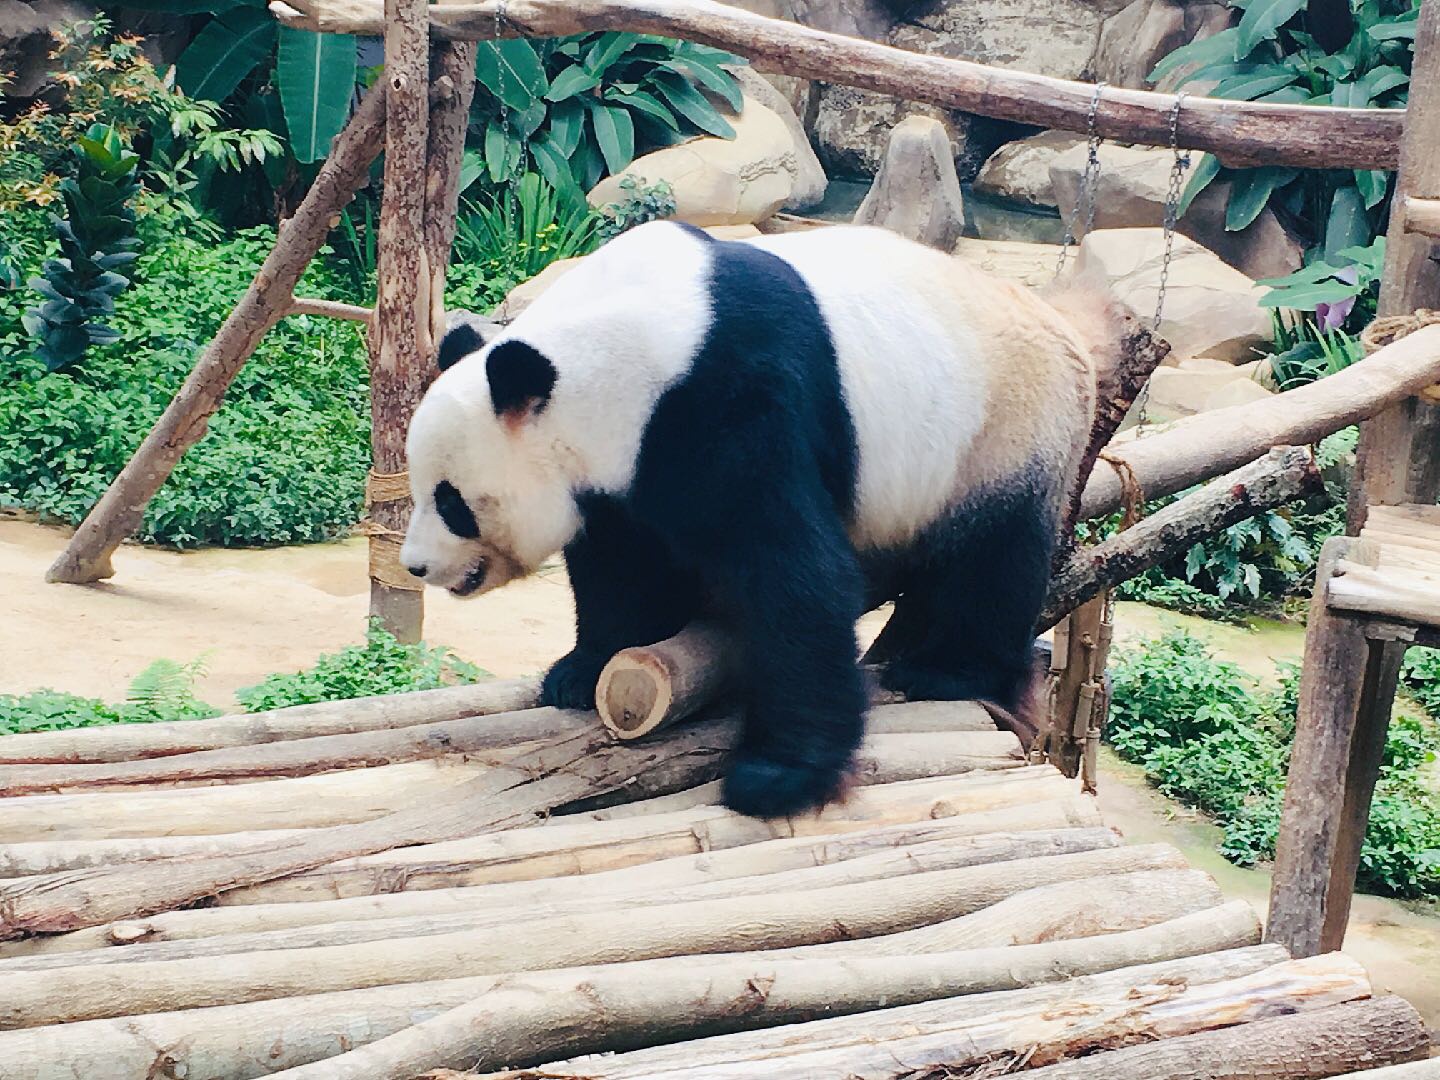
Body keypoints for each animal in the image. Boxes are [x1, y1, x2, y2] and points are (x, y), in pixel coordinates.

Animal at [400, 226, 1117, 817]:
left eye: (451, 501)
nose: (417, 565)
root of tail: (1070, 336)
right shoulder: (622, 468)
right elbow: (621, 565)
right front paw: (580, 671)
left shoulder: (727, 398)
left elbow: (792, 575)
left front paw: (778, 778)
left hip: (1005, 427)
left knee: (993, 559)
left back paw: (950, 670)